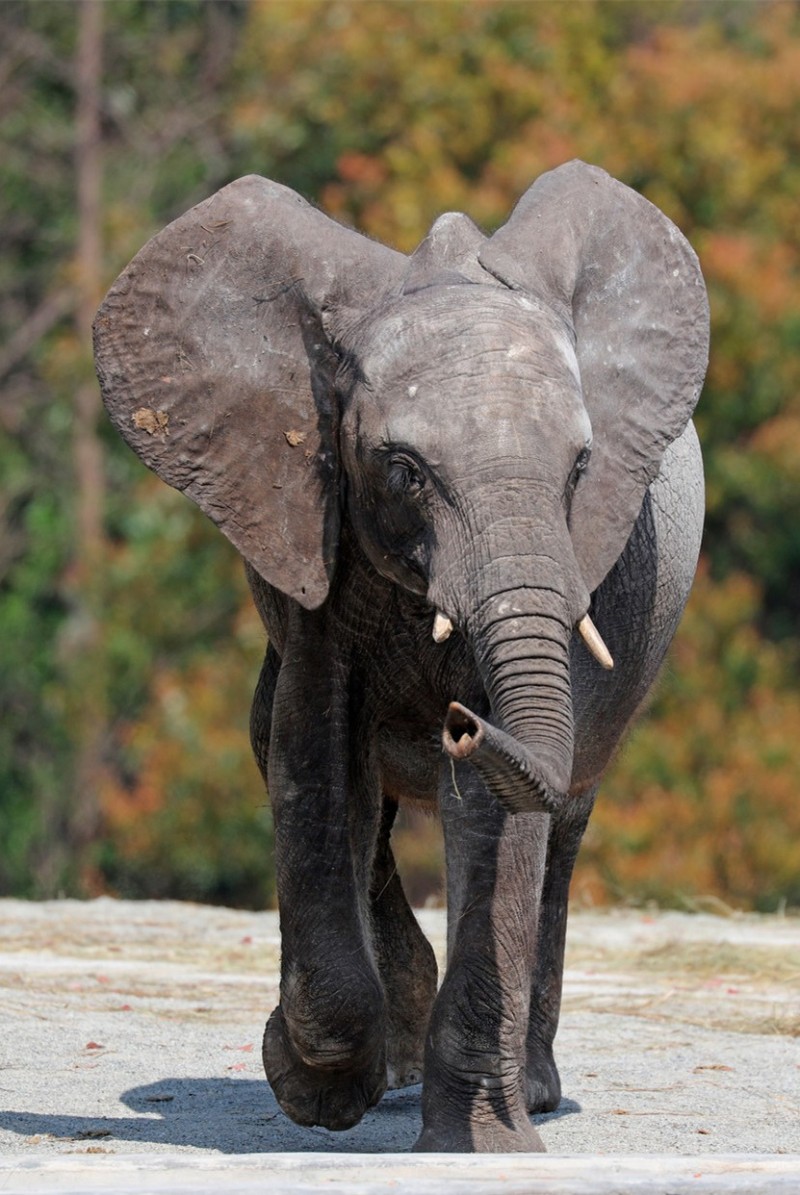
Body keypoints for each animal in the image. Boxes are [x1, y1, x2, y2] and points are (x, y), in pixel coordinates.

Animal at [93, 158, 703, 1147]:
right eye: (404, 470)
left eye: (581, 467)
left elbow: (498, 819)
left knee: (562, 822)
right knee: (297, 754)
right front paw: (312, 1085)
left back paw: (527, 1089)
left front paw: (484, 1146)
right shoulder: (312, 540)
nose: (457, 724)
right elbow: (314, 757)